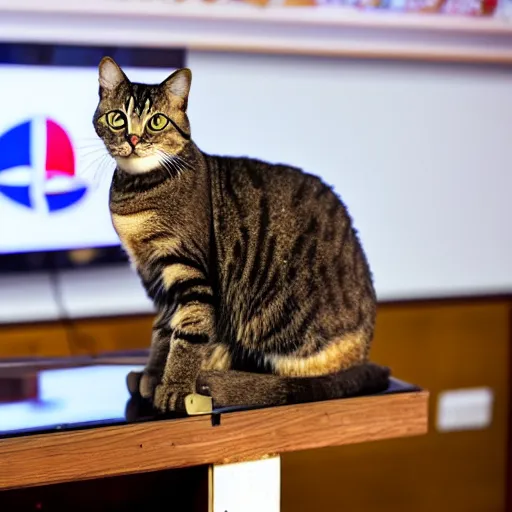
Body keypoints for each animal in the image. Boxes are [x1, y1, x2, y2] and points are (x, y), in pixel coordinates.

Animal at [93, 57, 388, 416]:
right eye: (117, 118)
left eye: (157, 121)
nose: (134, 139)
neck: (138, 192)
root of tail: (361, 352)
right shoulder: (154, 278)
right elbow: (162, 333)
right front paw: (152, 375)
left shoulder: (190, 275)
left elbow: (186, 336)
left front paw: (174, 386)